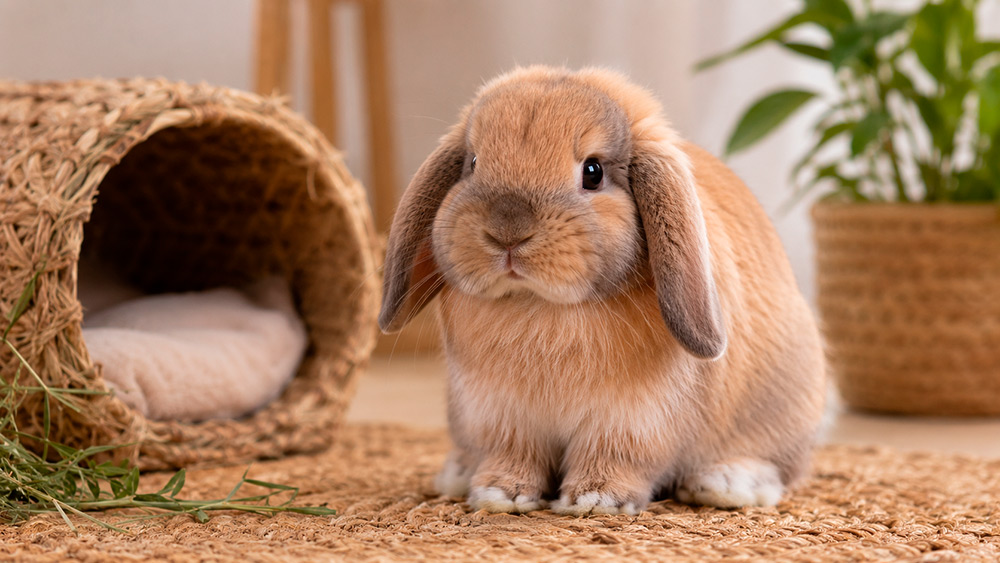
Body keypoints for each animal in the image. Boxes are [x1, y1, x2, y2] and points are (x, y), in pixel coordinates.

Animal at [379, 66, 826, 516]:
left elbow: (616, 457)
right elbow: (511, 456)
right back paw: (457, 472)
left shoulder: (634, 419)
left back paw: (725, 484)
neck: (538, 305)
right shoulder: (500, 416)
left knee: (781, 466)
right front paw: (500, 494)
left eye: (592, 172)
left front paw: (594, 500)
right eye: (472, 163)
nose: (507, 232)